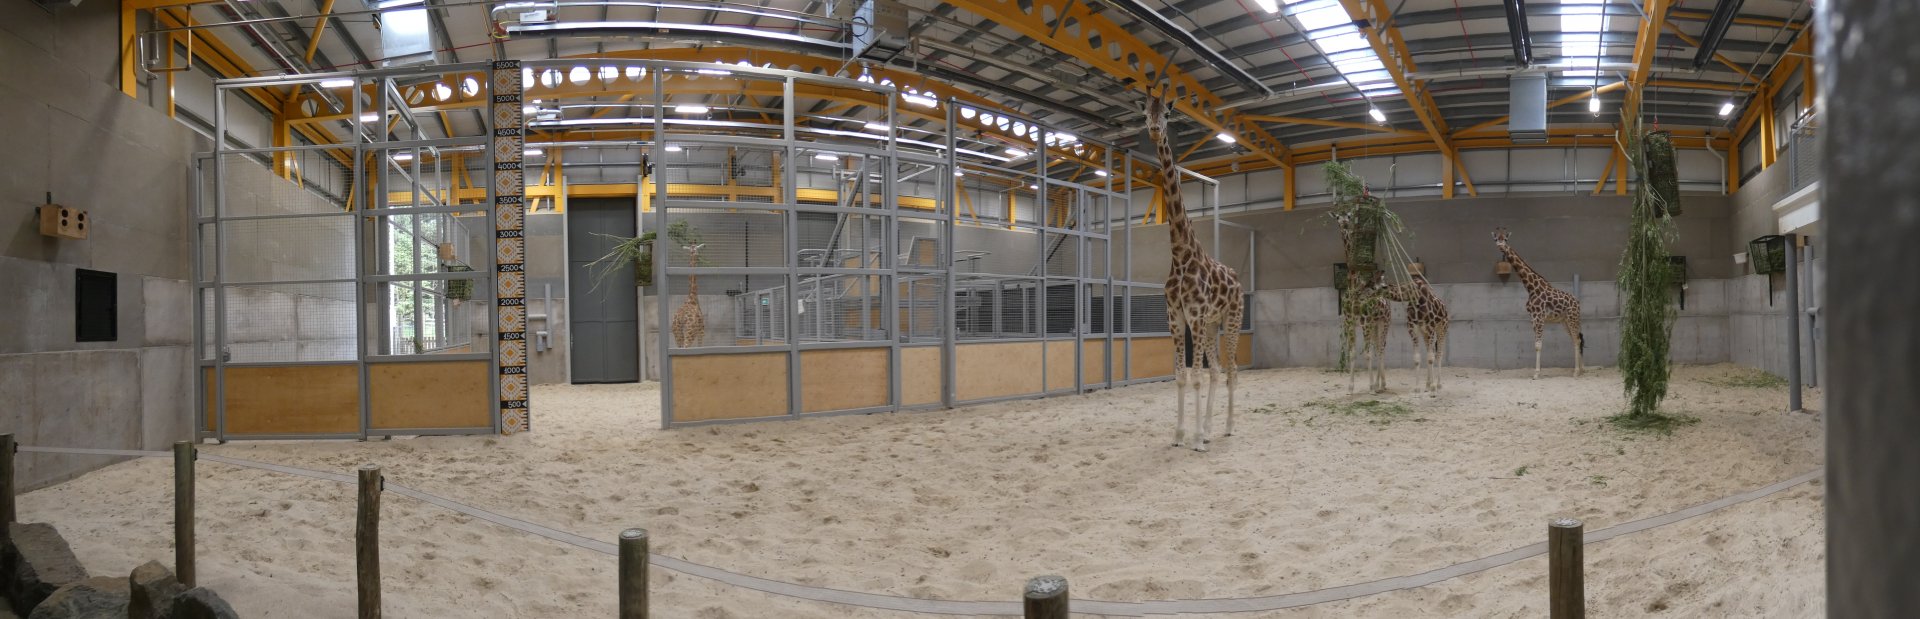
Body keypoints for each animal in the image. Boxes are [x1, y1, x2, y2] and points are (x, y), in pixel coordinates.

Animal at [1146, 92, 1245, 452]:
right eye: (1145, 112)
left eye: (1167, 113)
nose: (1155, 130)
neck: (1180, 254)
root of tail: (1239, 281)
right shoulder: (1175, 316)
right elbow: (1181, 375)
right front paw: (1180, 435)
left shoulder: (1196, 315)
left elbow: (1197, 376)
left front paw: (1198, 440)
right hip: (1214, 325)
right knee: (1217, 369)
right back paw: (1210, 427)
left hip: (1231, 318)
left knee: (1231, 370)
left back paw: (1226, 428)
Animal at [1491, 228, 1584, 378]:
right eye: (1495, 239)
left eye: (1505, 239)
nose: (1500, 246)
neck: (1531, 288)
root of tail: (1578, 302)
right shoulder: (1533, 318)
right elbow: (1536, 345)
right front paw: (1537, 372)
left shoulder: (1539, 317)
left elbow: (1538, 345)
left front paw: (1536, 374)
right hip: (1564, 321)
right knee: (1576, 339)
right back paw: (1581, 369)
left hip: (1572, 318)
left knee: (1577, 339)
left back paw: (1576, 372)